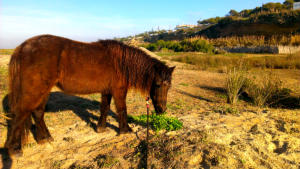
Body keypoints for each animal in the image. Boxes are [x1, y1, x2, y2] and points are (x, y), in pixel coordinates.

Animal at [4, 34, 175, 156]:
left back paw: (45, 139)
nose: (162, 110)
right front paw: (125, 130)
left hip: (43, 90)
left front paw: (100, 128)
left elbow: (104, 108)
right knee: (21, 114)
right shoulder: (119, 90)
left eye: (169, 86)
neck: (122, 63)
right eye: (158, 84)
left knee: (37, 113)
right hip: (35, 89)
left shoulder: (107, 90)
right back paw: (16, 149)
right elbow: (122, 109)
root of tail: (22, 47)